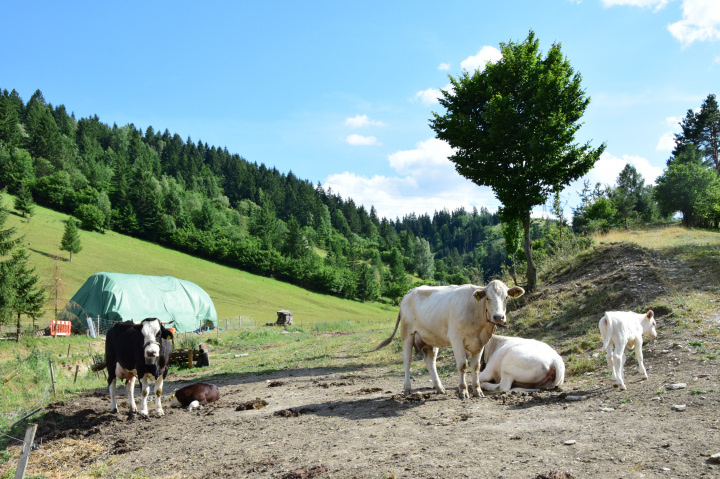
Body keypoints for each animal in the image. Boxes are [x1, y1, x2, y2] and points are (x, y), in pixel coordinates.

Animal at [376, 280, 524, 400]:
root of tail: (410, 291)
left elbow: (476, 367)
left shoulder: (480, 342)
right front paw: (463, 391)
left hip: (430, 338)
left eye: (506, 297)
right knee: (407, 360)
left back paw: (439, 388)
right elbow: (462, 365)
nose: (498, 317)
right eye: (488, 298)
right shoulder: (456, 338)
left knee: (430, 362)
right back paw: (407, 388)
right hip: (407, 334)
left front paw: (477, 391)